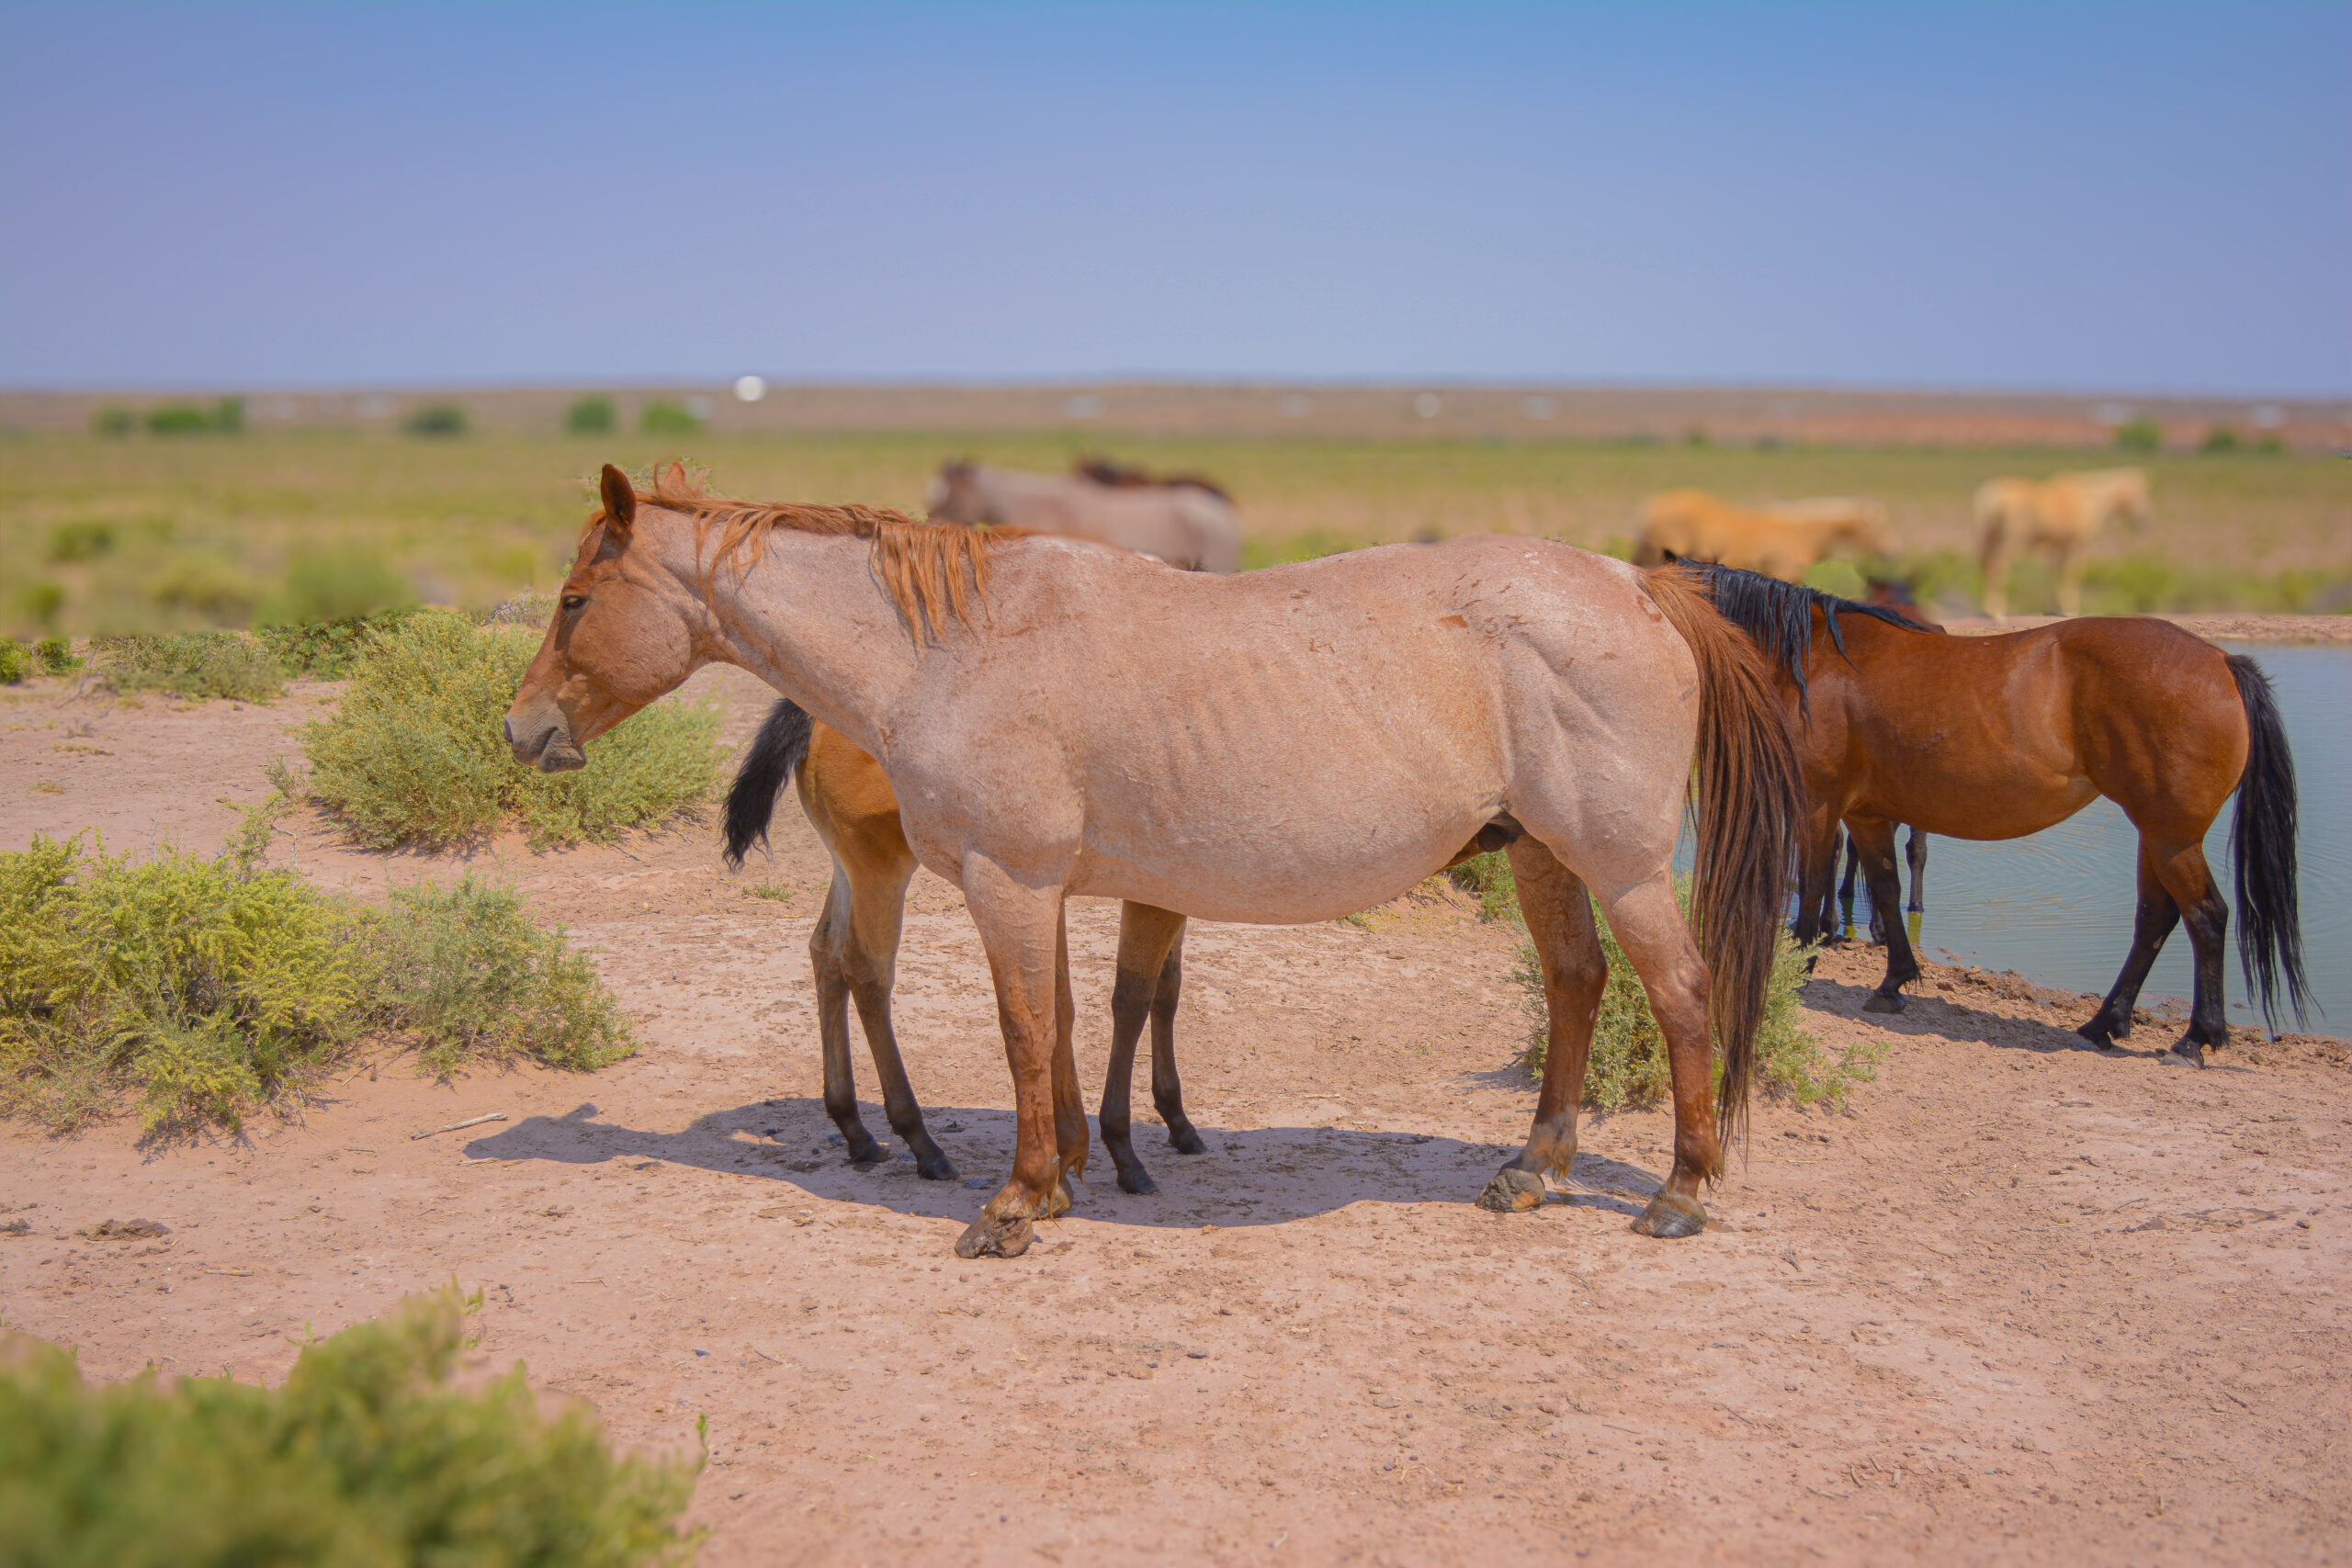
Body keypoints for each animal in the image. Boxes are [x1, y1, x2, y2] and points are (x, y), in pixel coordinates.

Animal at [1683, 563, 2307, 1062]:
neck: (1807, 657)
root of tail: (2222, 661)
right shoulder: (1866, 814)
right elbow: (1884, 886)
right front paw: (1893, 983)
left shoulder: (1818, 804)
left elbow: (1813, 888)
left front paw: (1802, 966)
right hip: (2155, 834)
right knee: (2156, 918)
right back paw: (2104, 1024)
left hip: (2172, 836)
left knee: (2206, 916)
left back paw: (2197, 1036)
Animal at [1975, 467, 2151, 619]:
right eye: (2140, 494)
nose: (2145, 523)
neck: (2088, 501)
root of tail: (1993, 494)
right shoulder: (2076, 548)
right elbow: (2072, 576)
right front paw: (2070, 611)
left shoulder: (2057, 547)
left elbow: (2053, 575)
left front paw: (2051, 608)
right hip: (2010, 543)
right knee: (1999, 569)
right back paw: (1997, 611)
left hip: (1991, 540)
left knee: (1987, 567)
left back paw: (1988, 610)